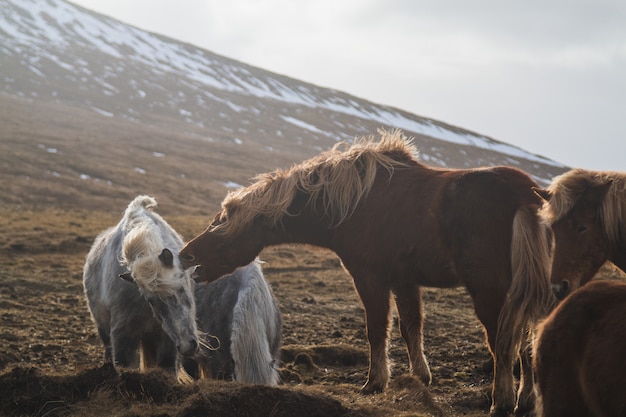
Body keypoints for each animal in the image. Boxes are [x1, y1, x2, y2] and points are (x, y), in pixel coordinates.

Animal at [179, 131, 552, 416]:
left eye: (222, 226)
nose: (185, 255)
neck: (355, 203)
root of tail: (527, 195)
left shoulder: (370, 278)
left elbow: (376, 330)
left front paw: (374, 383)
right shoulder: (404, 281)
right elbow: (410, 328)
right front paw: (420, 379)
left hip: (489, 290)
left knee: (503, 342)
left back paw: (502, 402)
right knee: (526, 340)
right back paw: (525, 401)